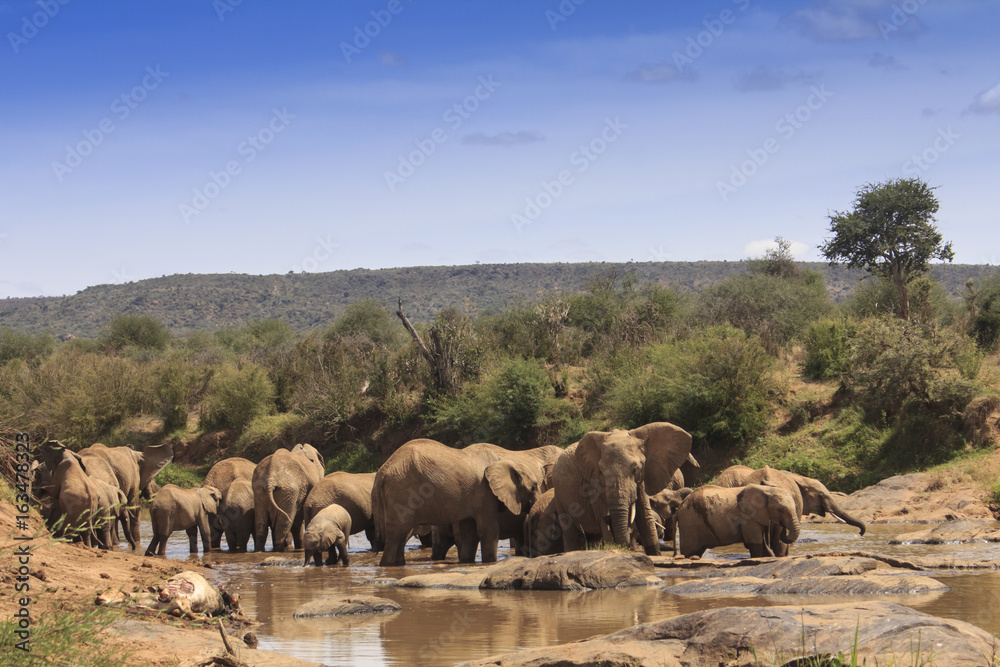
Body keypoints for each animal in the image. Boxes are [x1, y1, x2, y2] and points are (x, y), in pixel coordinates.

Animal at [373, 438, 545, 566]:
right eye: (534, 487)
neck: (503, 461)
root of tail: (382, 471)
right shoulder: (484, 493)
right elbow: (488, 530)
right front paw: (490, 563)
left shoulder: (472, 498)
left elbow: (469, 533)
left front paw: (467, 562)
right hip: (402, 491)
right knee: (397, 534)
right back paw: (388, 565)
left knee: (400, 536)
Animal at [550, 421, 693, 555]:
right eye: (601, 472)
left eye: (635, 469)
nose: (609, 519)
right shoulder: (592, 485)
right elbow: (602, 517)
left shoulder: (642, 478)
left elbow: (645, 517)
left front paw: (655, 555)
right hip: (560, 498)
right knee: (571, 534)